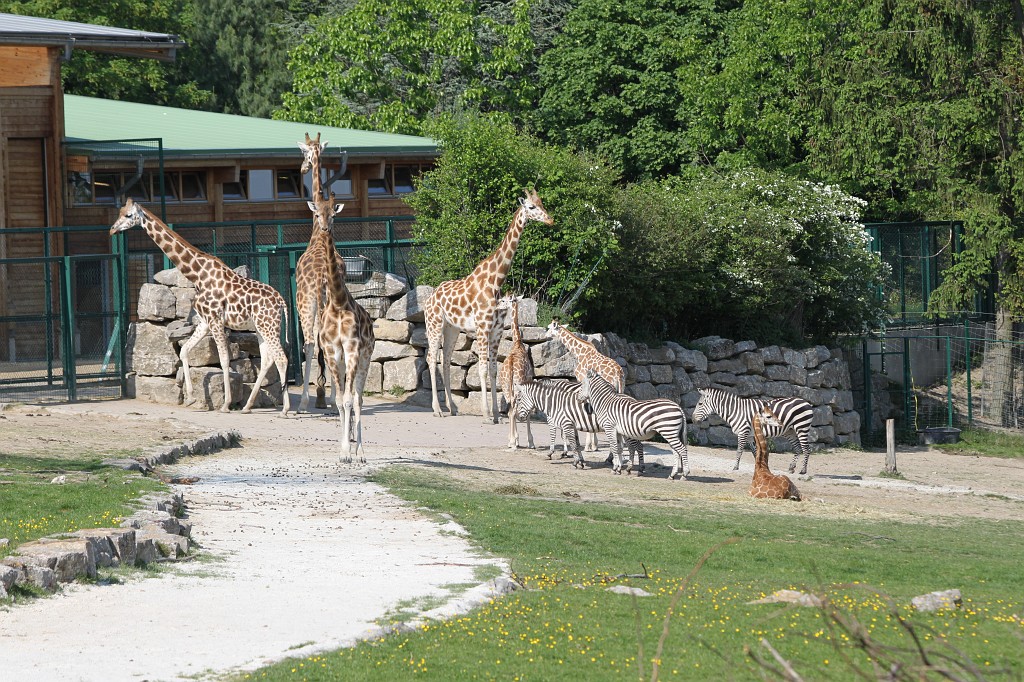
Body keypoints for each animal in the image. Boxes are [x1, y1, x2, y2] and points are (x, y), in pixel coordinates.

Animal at [110, 198, 290, 414]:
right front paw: (190, 398)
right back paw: (247, 406)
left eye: (128, 215)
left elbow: (224, 359)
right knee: (267, 359)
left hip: (268, 326)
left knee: (281, 358)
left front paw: (226, 404)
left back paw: (286, 409)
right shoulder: (205, 322)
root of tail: (281, 301)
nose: (112, 229)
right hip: (260, 328)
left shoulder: (216, 320)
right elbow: (184, 351)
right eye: (119, 212)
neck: (198, 274)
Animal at [424, 189, 553, 423]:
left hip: (451, 328)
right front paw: (486, 413)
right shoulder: (482, 327)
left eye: (541, 203)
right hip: (434, 324)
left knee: (446, 359)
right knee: (431, 358)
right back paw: (437, 409)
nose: (550, 219)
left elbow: (493, 368)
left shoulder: (496, 330)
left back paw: (452, 407)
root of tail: (430, 298)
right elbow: (482, 368)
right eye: (531, 207)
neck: (495, 281)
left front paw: (496, 414)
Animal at [513, 380, 644, 468]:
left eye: (518, 400)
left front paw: (557, 455)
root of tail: (632, 398)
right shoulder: (572, 425)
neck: (555, 402)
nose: (519, 417)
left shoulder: (563, 423)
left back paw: (637, 467)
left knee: (637, 446)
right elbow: (576, 443)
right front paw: (580, 461)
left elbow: (563, 439)